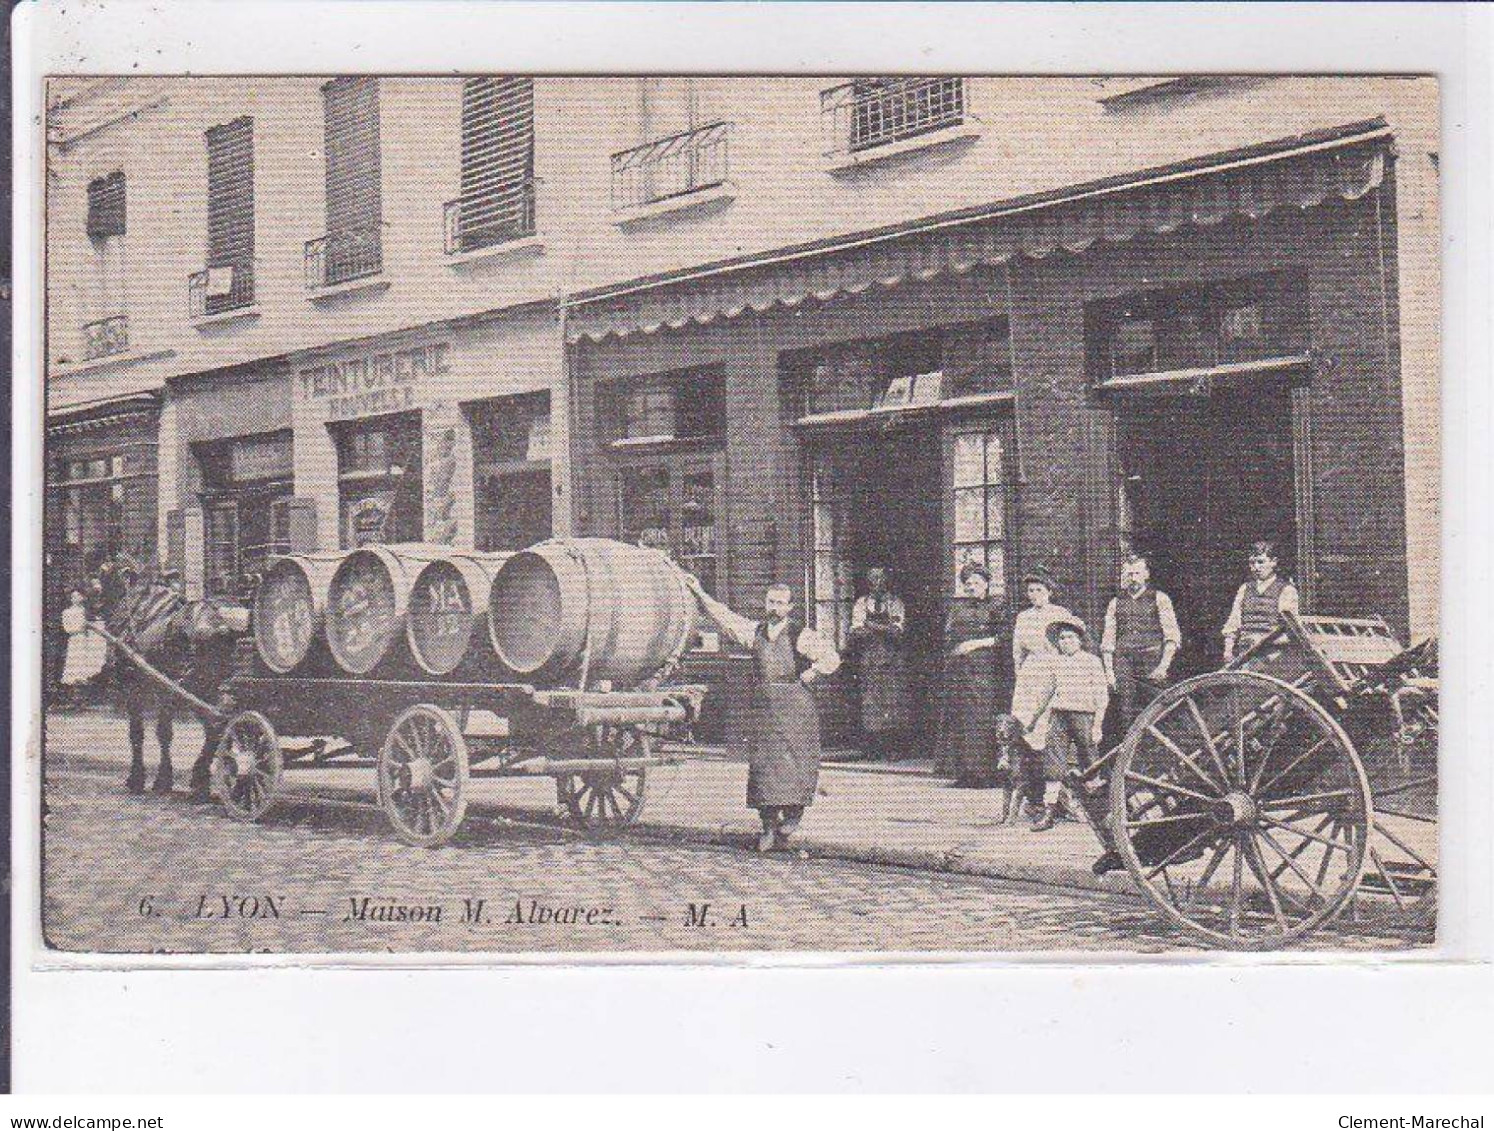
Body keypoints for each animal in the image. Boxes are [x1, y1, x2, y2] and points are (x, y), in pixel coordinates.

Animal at [103, 573, 248, 794]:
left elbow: (143, 733)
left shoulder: (138, 689)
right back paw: (202, 779)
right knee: (218, 725)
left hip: (193, 687)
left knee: (216, 723)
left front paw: (146, 778)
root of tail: (223, 625)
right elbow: (160, 732)